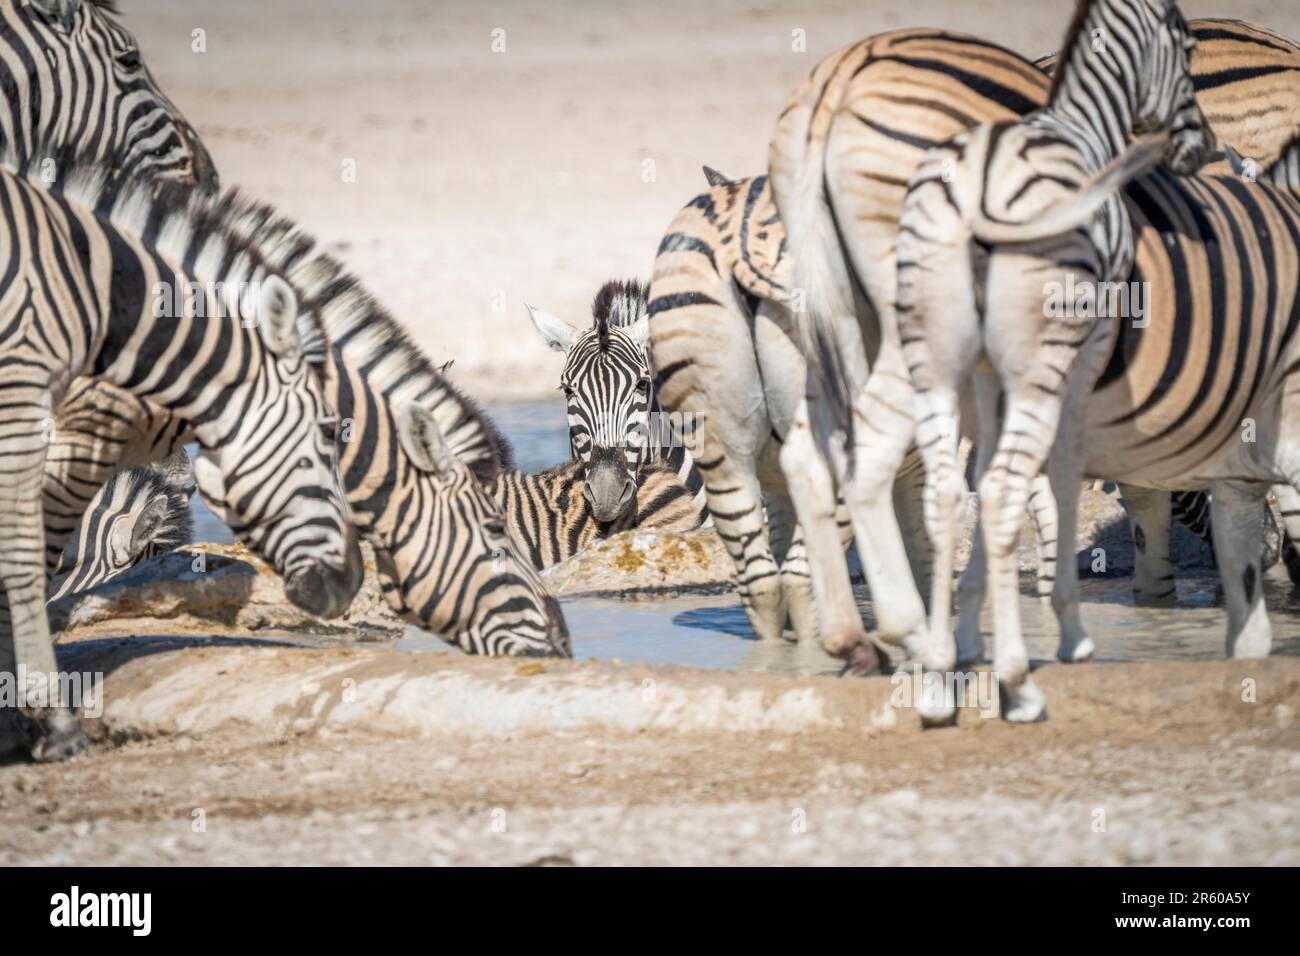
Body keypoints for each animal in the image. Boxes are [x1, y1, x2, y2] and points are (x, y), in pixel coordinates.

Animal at [893, 0, 1215, 719]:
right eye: (1186, 52)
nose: (1202, 145)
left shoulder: (988, 374)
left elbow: (987, 478)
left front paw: (971, 630)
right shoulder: (1085, 348)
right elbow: (1057, 473)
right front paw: (1063, 630)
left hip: (935, 360)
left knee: (945, 493)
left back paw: (939, 669)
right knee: (1004, 483)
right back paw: (1017, 677)